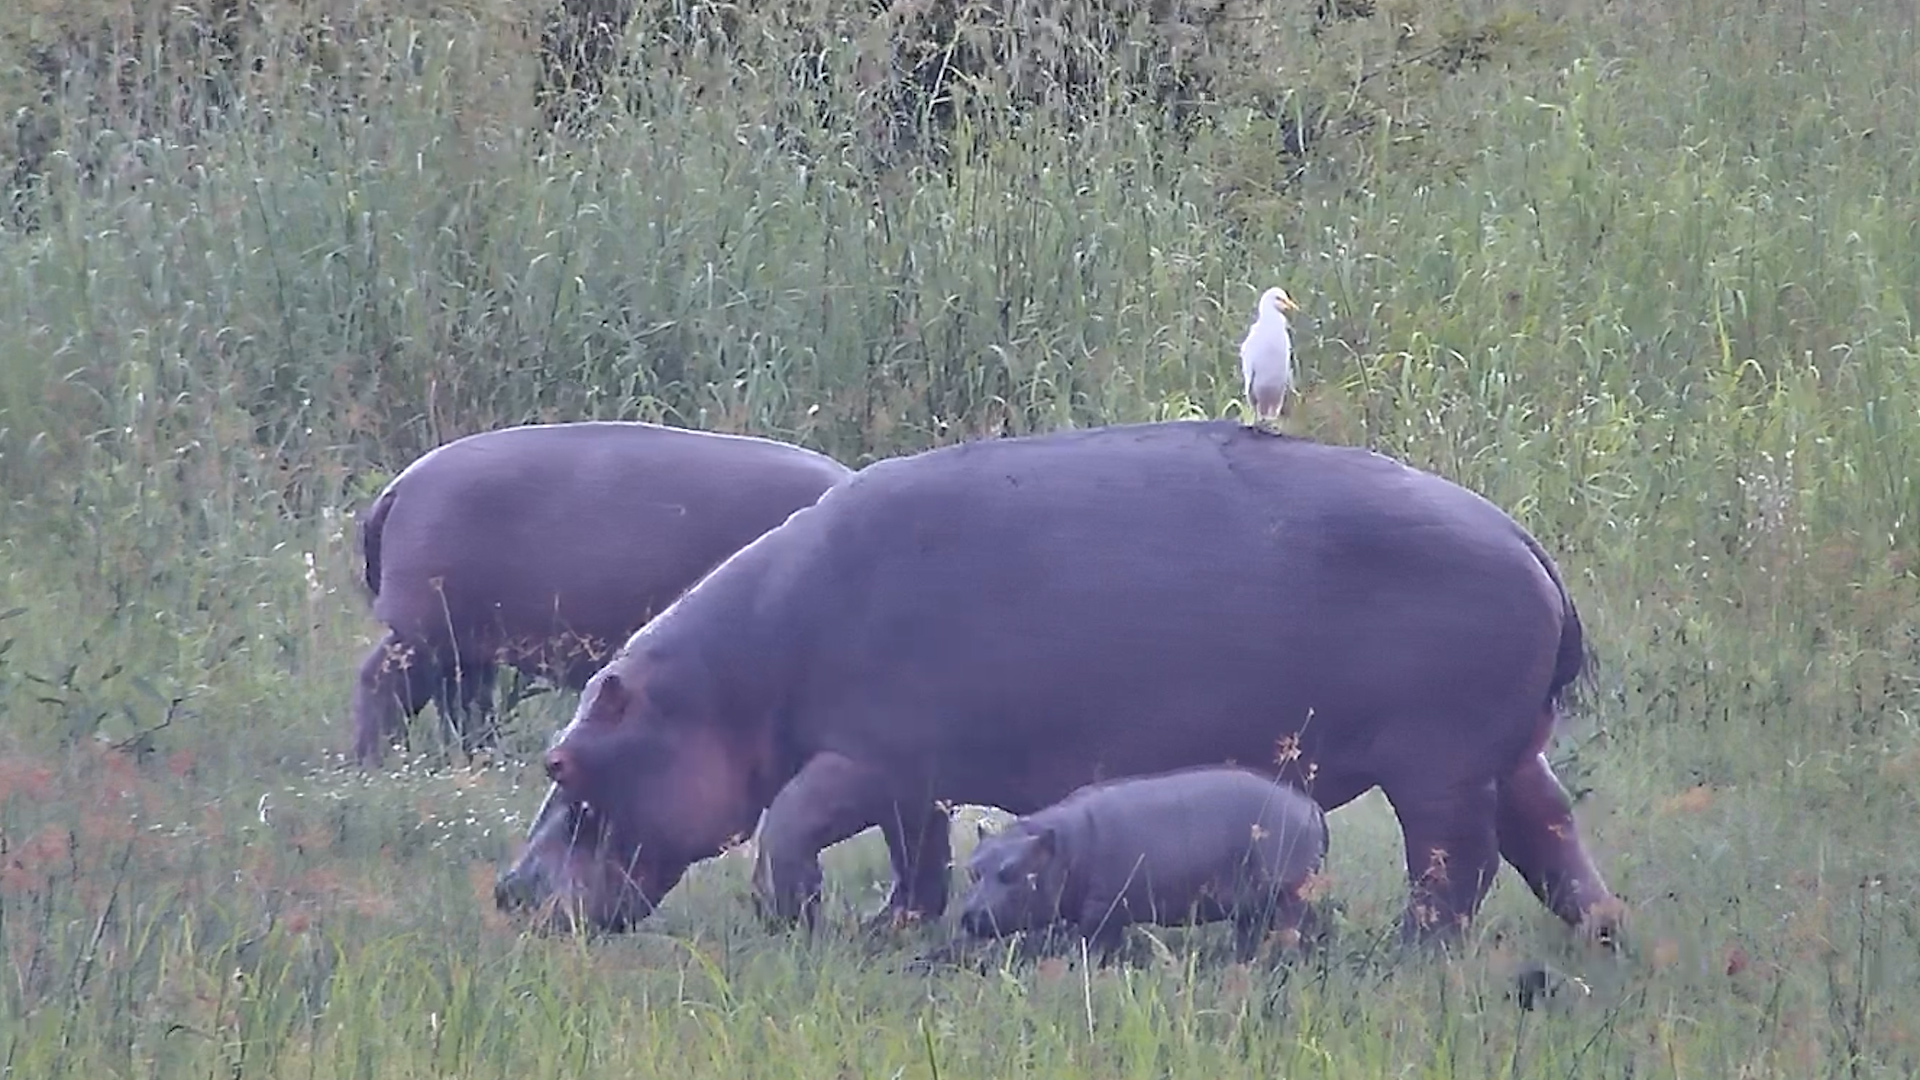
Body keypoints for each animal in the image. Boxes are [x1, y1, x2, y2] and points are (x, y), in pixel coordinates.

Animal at [350, 420, 852, 766]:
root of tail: (399, 486)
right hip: (424, 631)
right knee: (384, 684)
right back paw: (376, 763)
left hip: (463, 644)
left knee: (461, 702)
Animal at [954, 766, 1330, 962]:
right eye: (974, 869)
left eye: (1011, 871)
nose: (969, 916)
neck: (1058, 846)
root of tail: (1310, 806)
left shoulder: (1102, 912)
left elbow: (1097, 947)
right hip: (1253, 905)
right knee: (1251, 934)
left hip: (1291, 893)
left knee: (1300, 928)